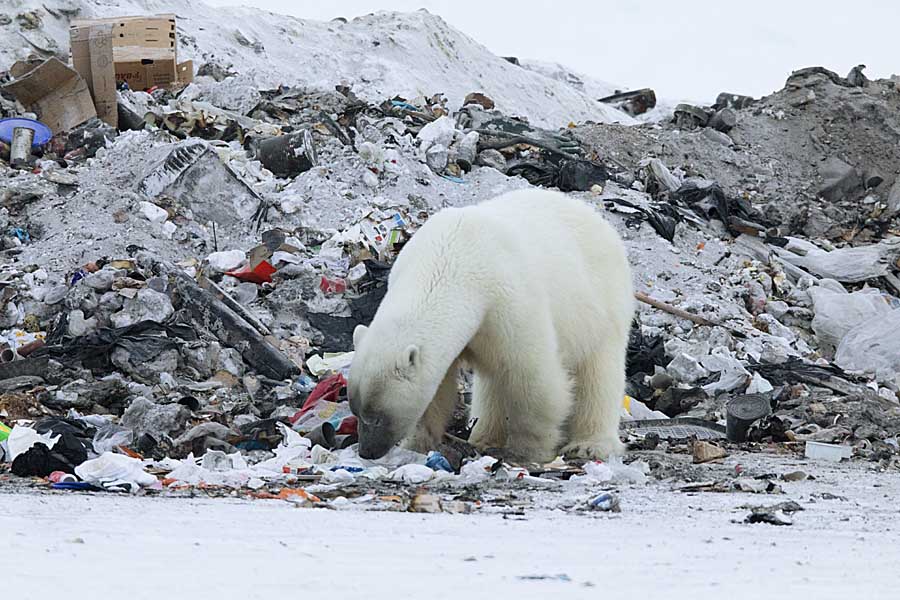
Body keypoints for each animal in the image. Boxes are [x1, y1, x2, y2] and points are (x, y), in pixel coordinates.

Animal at [348, 190, 636, 462]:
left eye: (376, 417)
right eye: (356, 411)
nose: (366, 451)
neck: (450, 259)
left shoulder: (508, 300)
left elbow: (532, 377)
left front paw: (529, 452)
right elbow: (438, 388)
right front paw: (417, 443)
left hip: (601, 302)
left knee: (598, 374)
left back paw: (589, 445)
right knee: (493, 383)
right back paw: (485, 437)